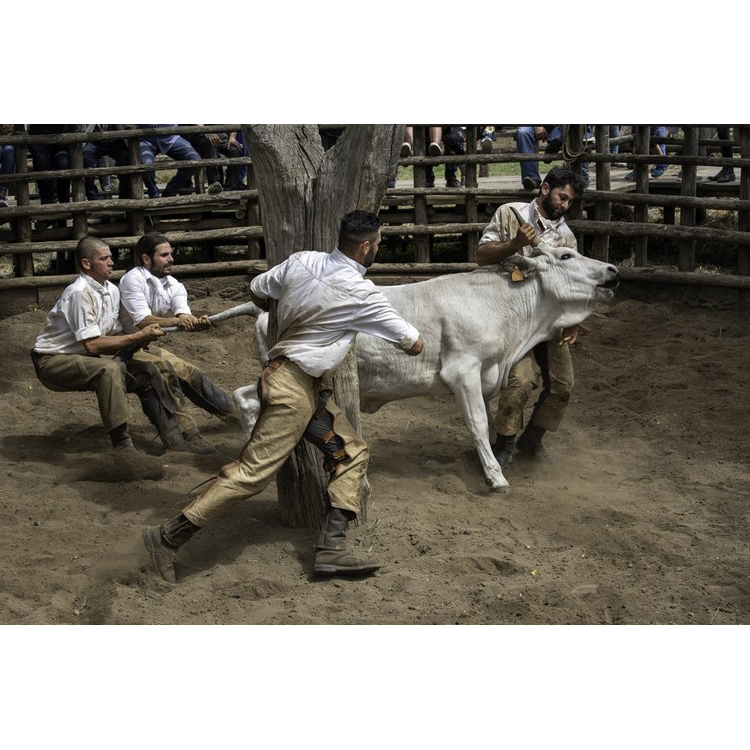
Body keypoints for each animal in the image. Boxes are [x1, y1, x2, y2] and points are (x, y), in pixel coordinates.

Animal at [232, 247, 620, 494]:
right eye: (566, 256)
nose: (613, 270)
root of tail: (266, 311)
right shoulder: (463, 371)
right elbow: (478, 423)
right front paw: (496, 478)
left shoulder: (485, 375)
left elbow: (489, 419)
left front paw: (488, 460)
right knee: (246, 398)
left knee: (243, 397)